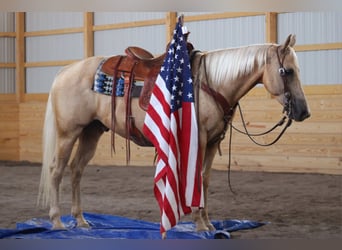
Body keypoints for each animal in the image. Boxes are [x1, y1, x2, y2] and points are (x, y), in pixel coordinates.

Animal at [36, 34, 310, 231]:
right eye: (287, 71)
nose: (303, 112)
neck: (210, 83)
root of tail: (66, 71)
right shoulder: (198, 139)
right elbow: (195, 178)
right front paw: (200, 225)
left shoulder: (212, 142)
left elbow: (205, 179)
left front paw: (208, 224)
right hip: (68, 132)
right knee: (56, 170)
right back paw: (57, 221)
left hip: (91, 132)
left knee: (76, 170)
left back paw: (81, 221)